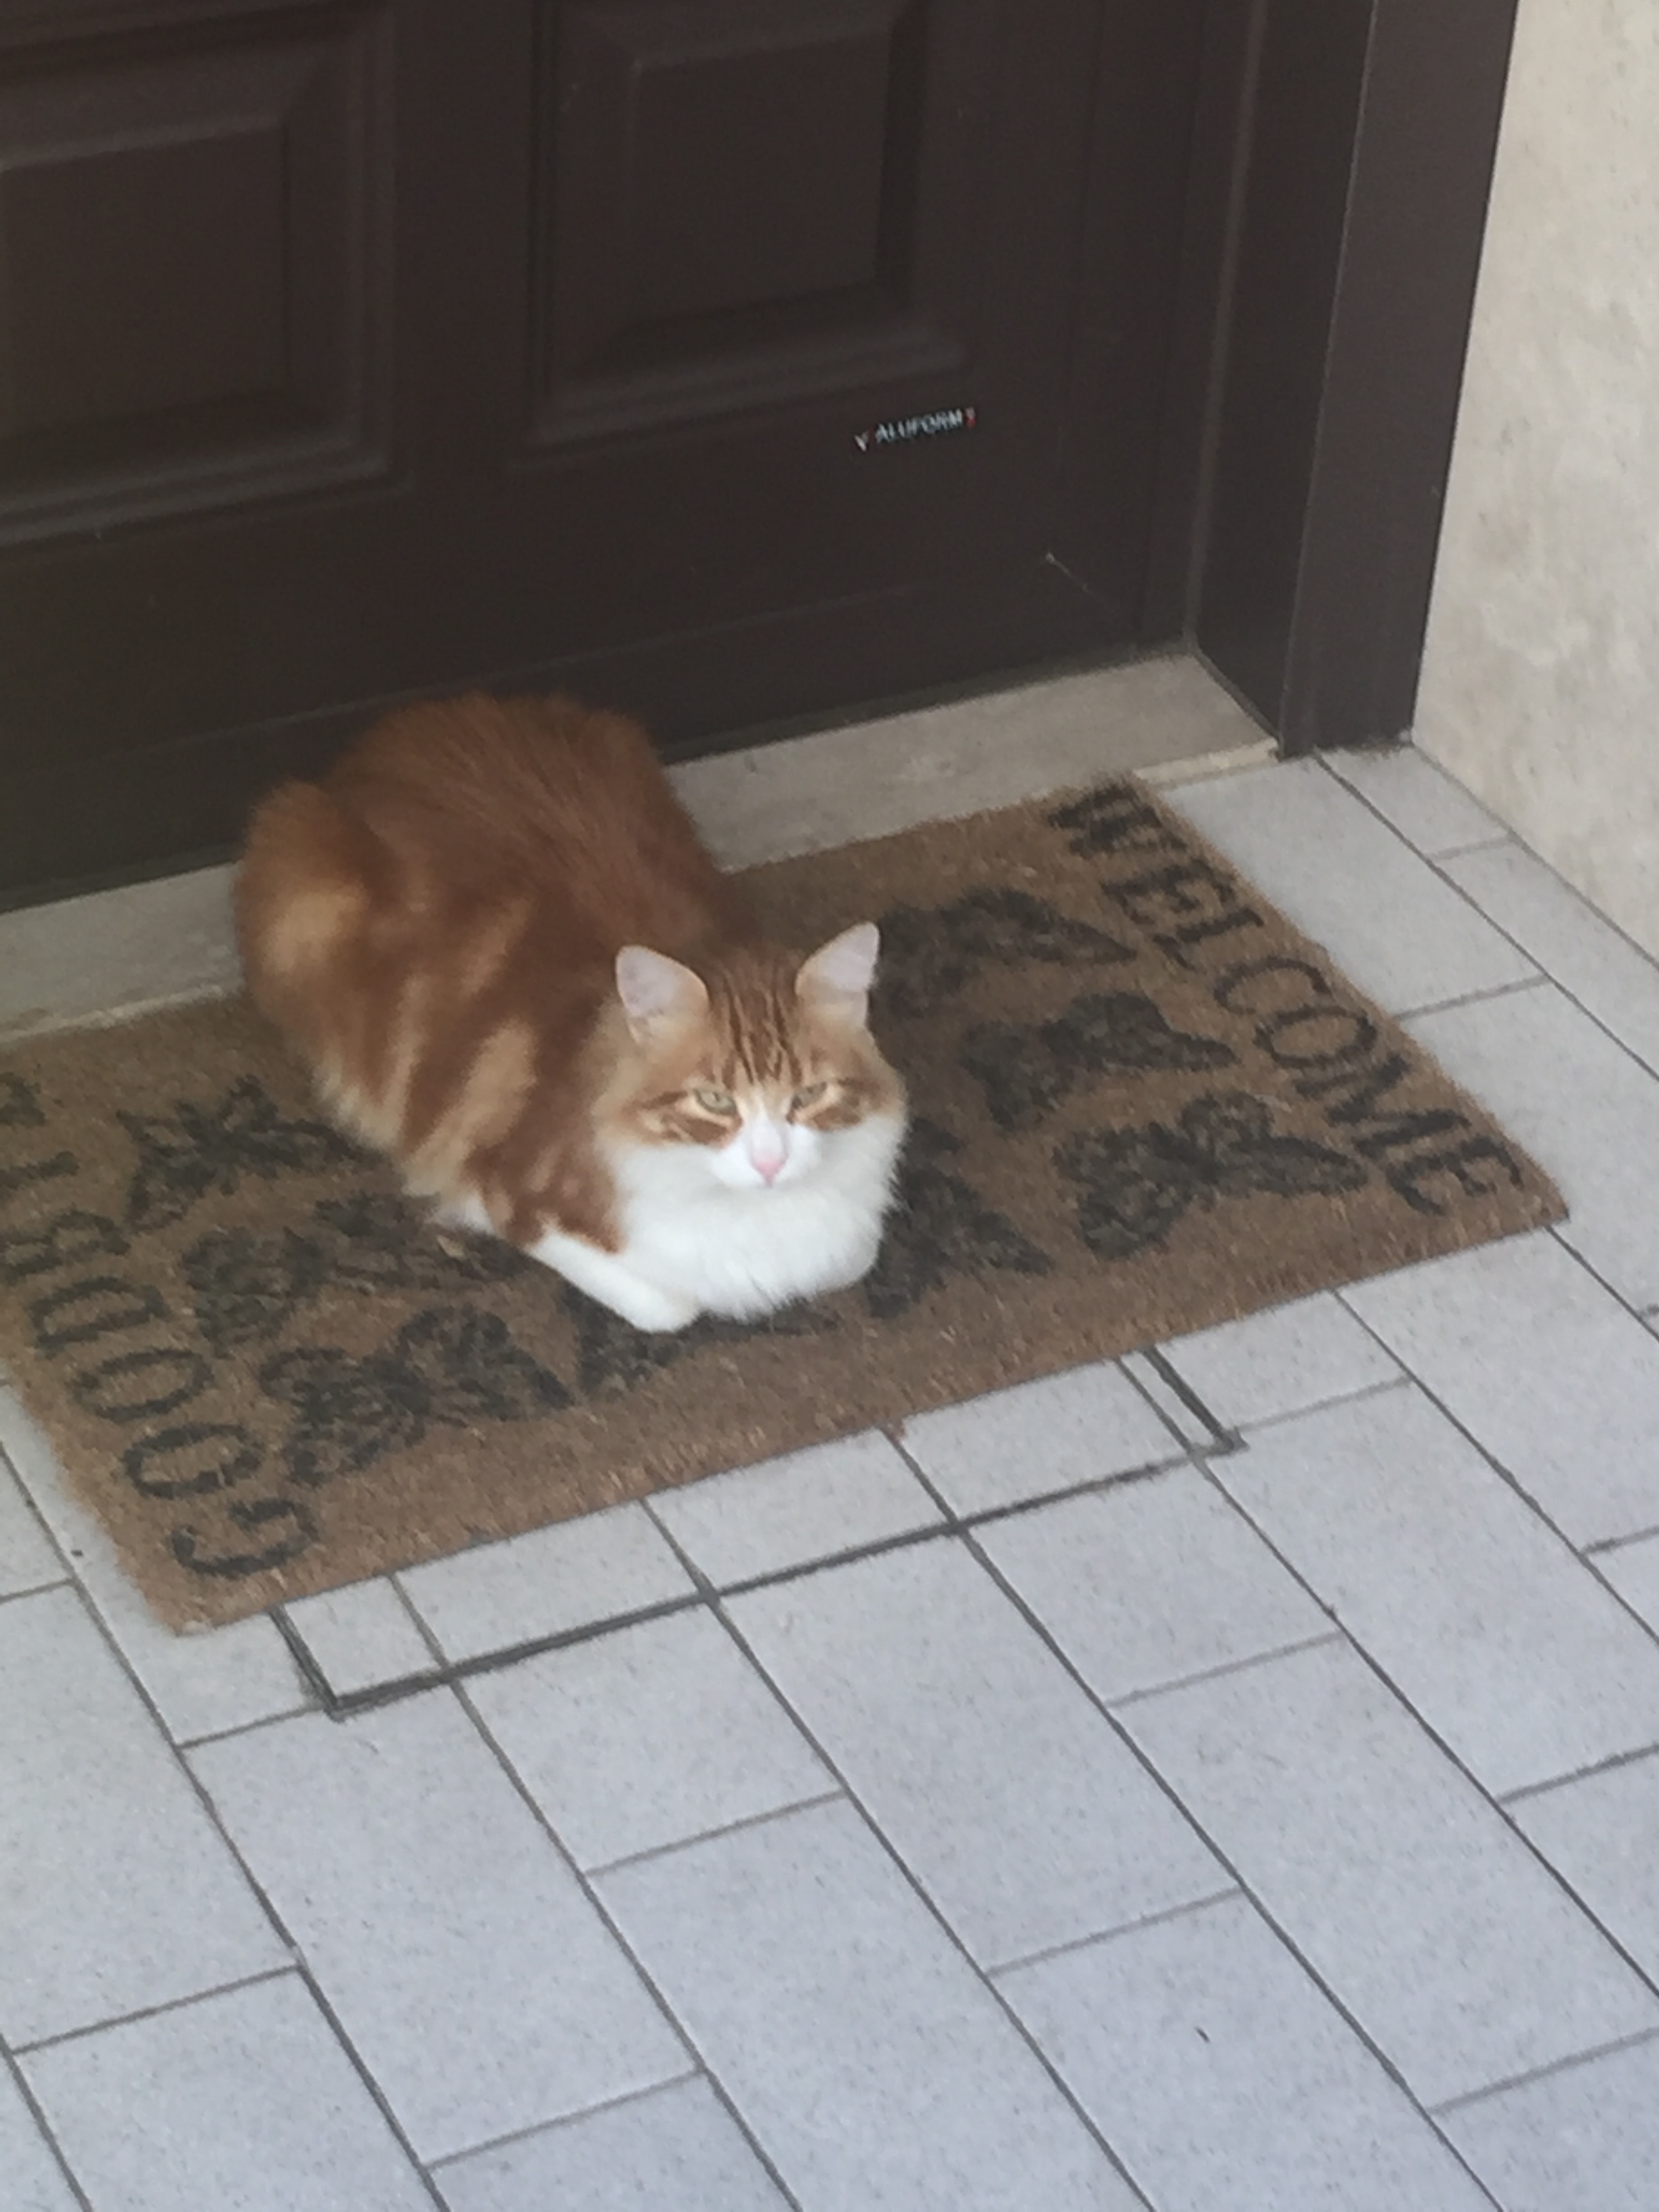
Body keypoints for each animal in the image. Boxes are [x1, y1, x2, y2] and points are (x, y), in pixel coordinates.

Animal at [235, 692, 908, 1333]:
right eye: (714, 1101)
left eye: (809, 1094)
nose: (771, 1162)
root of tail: (388, 734)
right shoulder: (500, 1192)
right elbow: (671, 1307)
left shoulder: (851, 1239)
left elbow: (856, 1256)